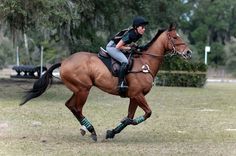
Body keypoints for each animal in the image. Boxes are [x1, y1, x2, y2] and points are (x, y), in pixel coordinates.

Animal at [20, 23, 192, 142]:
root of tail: (64, 62)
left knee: (70, 106)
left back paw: (85, 128)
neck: (146, 62)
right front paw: (123, 123)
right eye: (175, 37)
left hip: (78, 89)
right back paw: (91, 130)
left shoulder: (134, 96)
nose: (189, 53)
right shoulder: (137, 94)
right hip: (83, 89)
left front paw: (112, 132)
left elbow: (130, 116)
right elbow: (146, 114)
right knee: (76, 108)